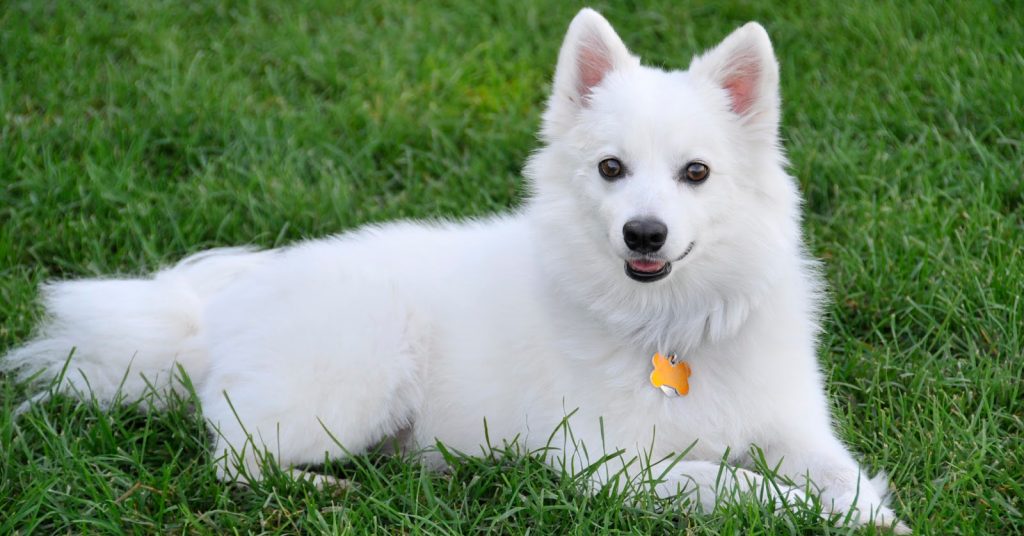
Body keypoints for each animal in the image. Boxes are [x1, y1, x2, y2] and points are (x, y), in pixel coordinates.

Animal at [4, 8, 909, 532]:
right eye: (612, 169)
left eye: (696, 173)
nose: (644, 234)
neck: (671, 326)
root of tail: (211, 320)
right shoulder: (610, 465)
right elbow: (741, 485)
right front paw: (813, 511)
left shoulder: (797, 428)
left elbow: (844, 475)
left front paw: (869, 514)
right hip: (359, 382)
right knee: (234, 459)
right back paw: (321, 491)